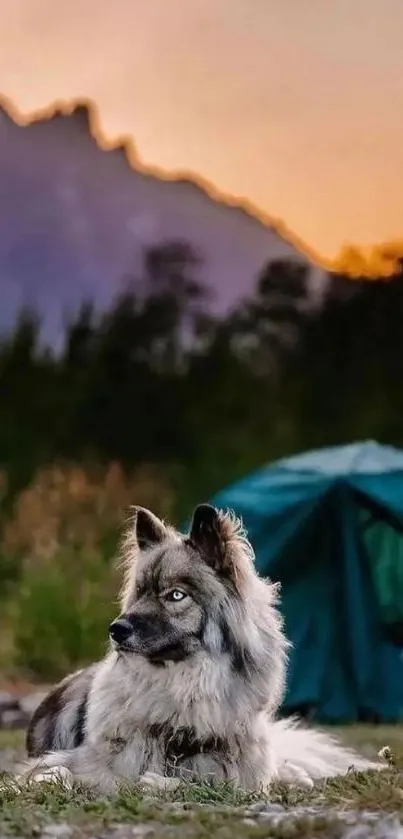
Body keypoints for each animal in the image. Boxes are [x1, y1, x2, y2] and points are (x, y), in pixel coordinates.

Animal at [23, 506, 384, 796]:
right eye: (140, 593)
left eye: (175, 595)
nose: (116, 630)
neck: (185, 691)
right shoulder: (90, 759)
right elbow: (66, 771)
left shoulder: (235, 768)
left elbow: (211, 780)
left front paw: (160, 782)